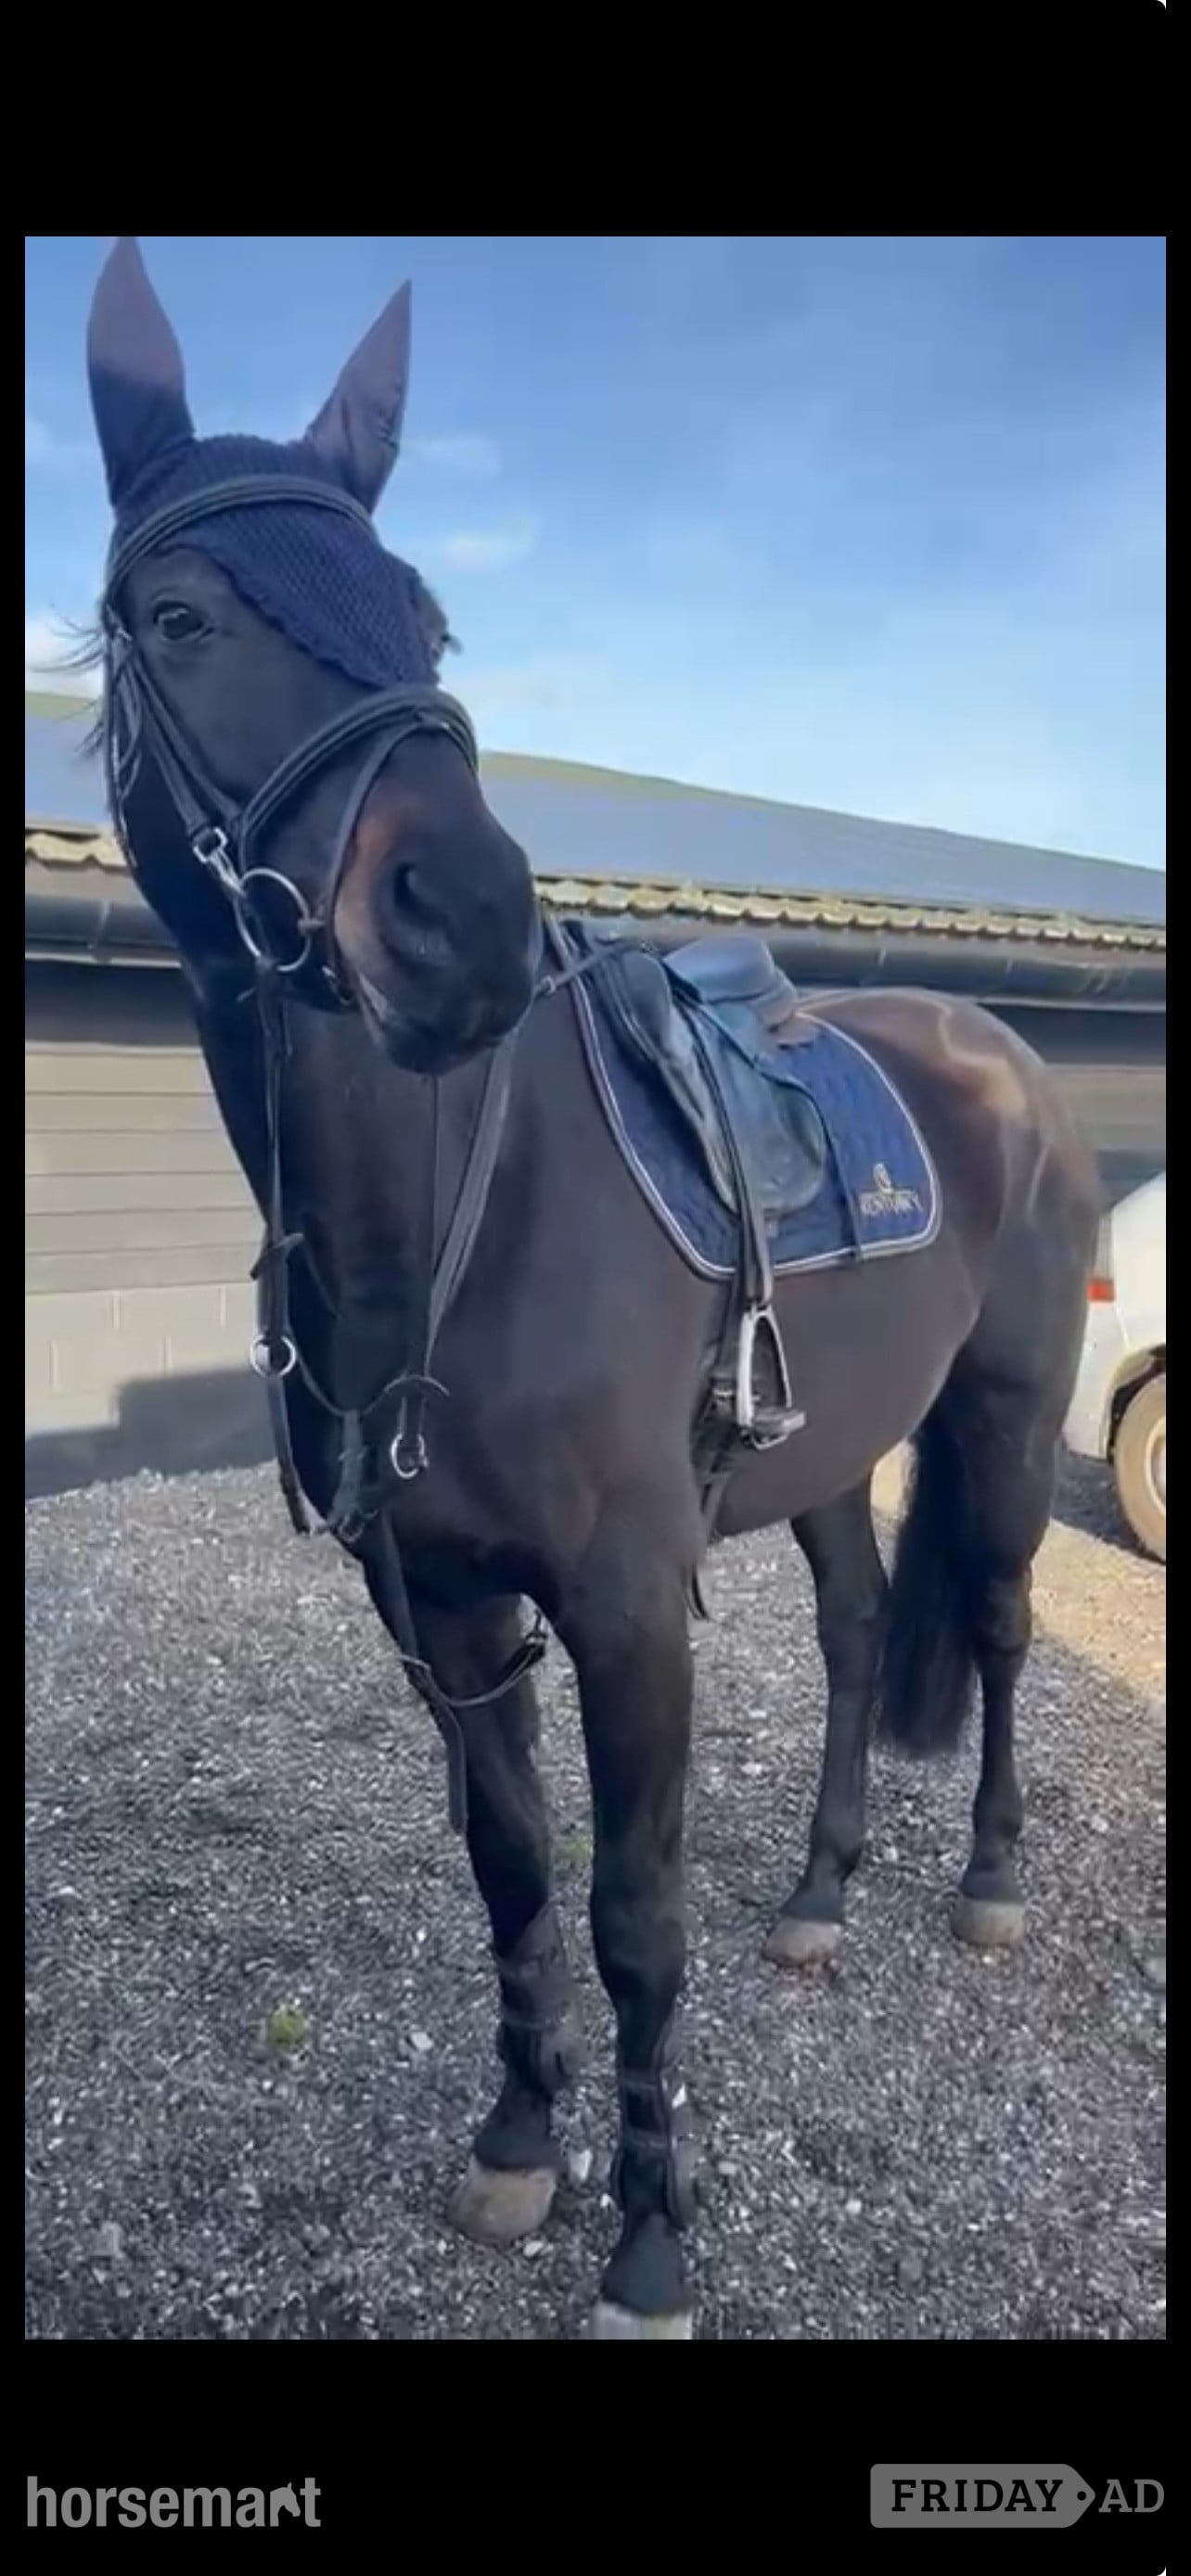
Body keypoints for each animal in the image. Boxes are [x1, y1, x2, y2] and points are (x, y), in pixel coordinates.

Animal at [81, 237, 1100, 2340]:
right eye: (178, 614)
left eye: (426, 614)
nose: (462, 917)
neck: (450, 1223)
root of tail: (997, 1050)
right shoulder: (449, 1610)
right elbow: (516, 1875)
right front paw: (515, 2148)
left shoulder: (627, 1608)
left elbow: (631, 1914)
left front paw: (646, 2238)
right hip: (828, 1444)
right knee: (865, 1618)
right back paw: (818, 1895)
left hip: (1005, 1405)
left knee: (999, 1622)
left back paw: (979, 1881)